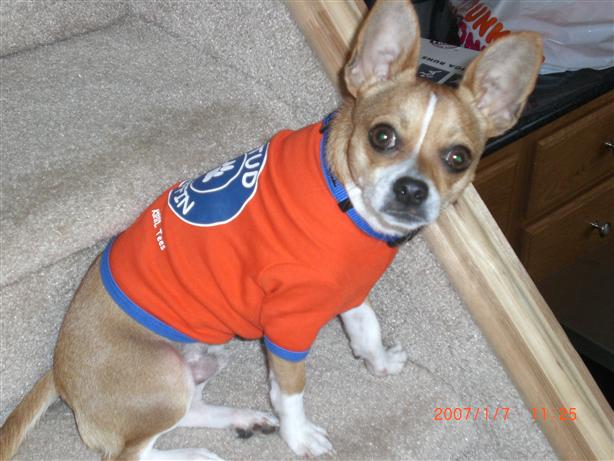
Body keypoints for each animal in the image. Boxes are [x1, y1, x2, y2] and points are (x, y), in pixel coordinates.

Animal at [0, 1, 542, 459]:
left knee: (189, 412)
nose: (411, 189)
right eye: (383, 136)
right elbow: (292, 391)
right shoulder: (288, 327)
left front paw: (379, 364)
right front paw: (299, 438)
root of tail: (57, 370)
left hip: (204, 359)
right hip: (164, 376)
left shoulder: (350, 292)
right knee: (131, 453)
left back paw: (242, 419)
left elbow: (366, 331)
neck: (343, 200)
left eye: (459, 158)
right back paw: (199, 454)